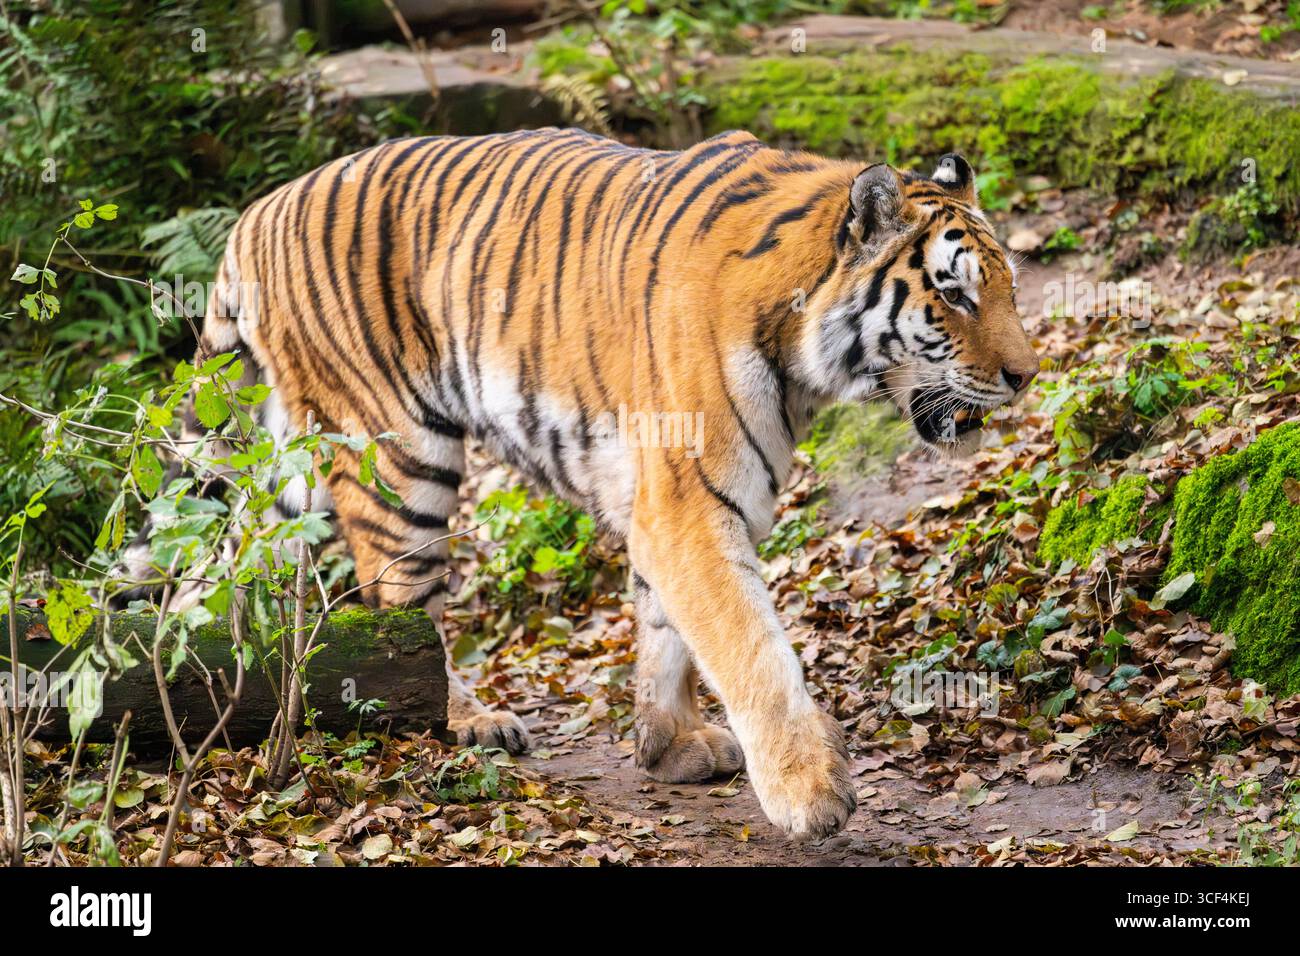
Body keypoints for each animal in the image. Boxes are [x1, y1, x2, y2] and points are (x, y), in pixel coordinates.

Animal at [130, 128, 1038, 840]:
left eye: (1008, 286)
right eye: (953, 295)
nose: (1027, 376)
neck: (806, 353)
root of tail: (255, 214)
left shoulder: (675, 502)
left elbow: (668, 628)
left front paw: (670, 745)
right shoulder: (688, 502)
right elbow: (750, 648)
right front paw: (809, 792)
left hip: (286, 470)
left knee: (212, 581)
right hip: (398, 452)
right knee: (400, 606)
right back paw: (468, 721)